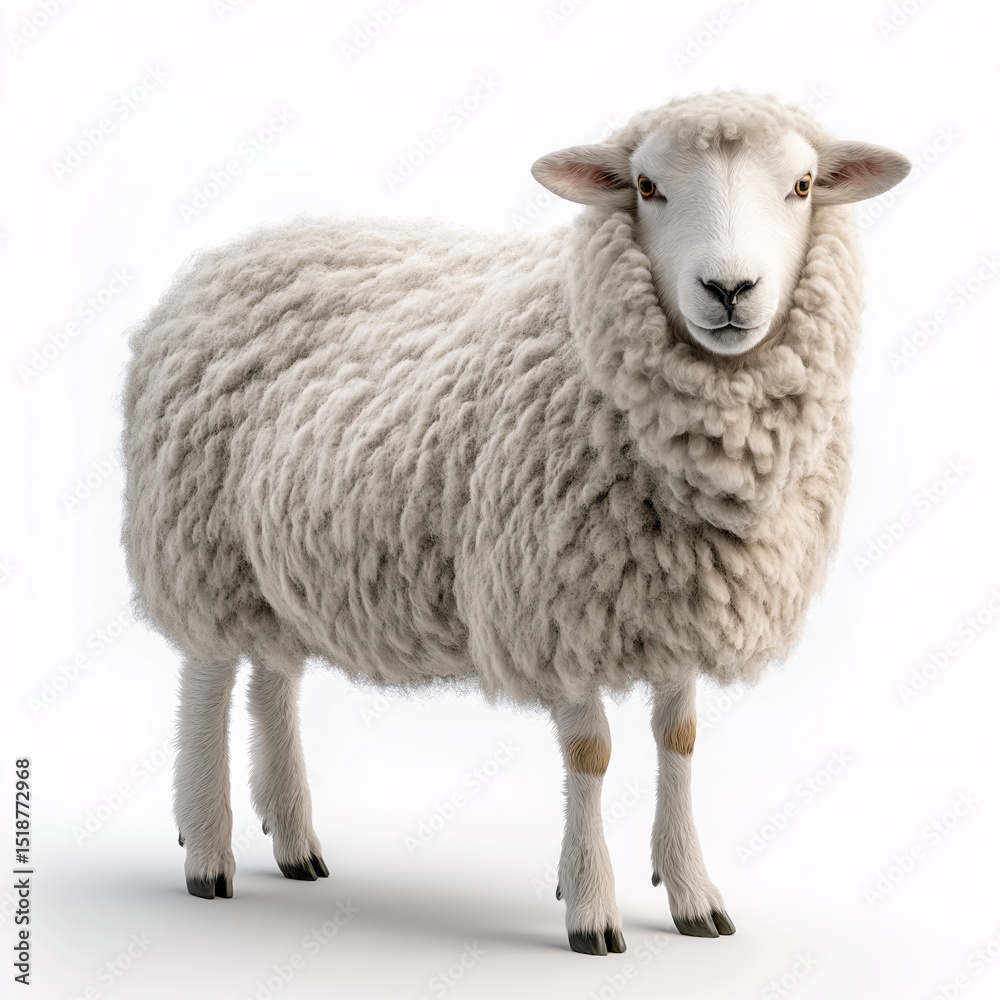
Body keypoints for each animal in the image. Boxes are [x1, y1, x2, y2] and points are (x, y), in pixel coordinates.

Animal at [121, 90, 910, 956]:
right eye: (647, 187)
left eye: (802, 185)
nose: (729, 288)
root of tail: (226, 256)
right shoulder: (553, 608)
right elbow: (591, 753)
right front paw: (591, 907)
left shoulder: (673, 601)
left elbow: (679, 741)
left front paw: (692, 895)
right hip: (199, 544)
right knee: (207, 683)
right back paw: (209, 852)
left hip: (275, 566)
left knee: (272, 680)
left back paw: (294, 842)